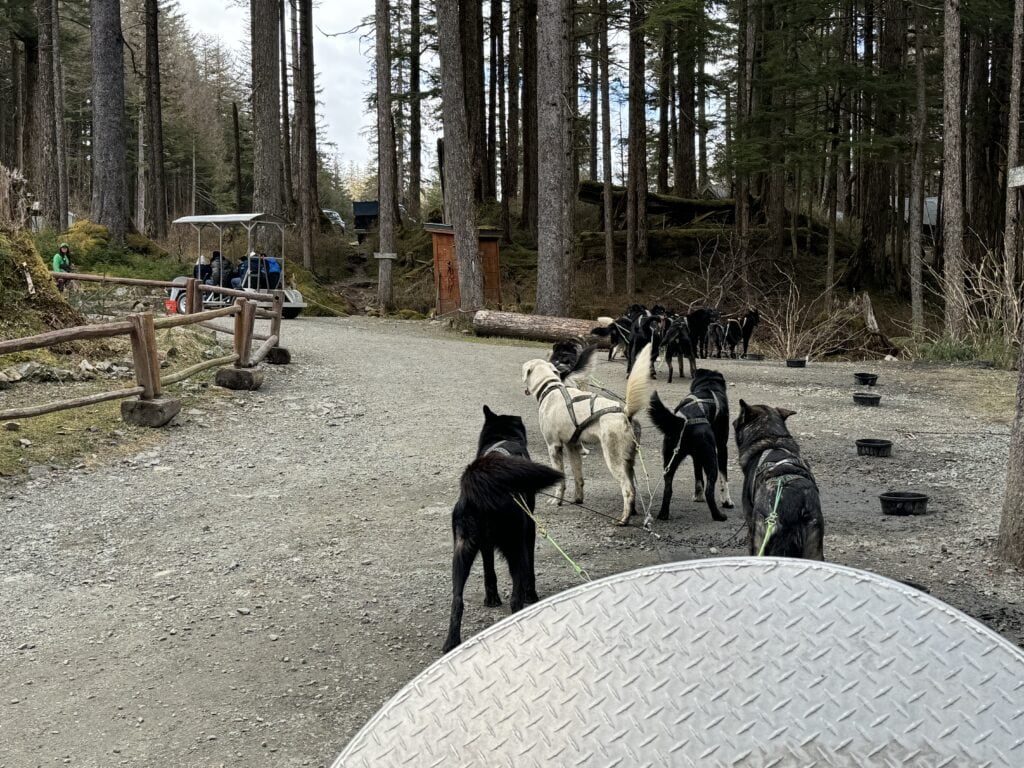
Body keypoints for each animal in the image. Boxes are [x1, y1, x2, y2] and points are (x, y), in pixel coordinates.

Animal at [442, 405, 565, 651]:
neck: (503, 438)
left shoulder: (485, 544)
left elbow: (489, 570)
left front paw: (491, 599)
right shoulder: (529, 531)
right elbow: (530, 572)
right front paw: (531, 595)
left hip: (461, 552)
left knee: (457, 600)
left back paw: (451, 643)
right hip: (515, 545)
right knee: (516, 596)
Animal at [651, 368, 733, 524]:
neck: (708, 386)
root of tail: (683, 422)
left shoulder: (697, 456)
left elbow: (697, 474)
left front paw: (697, 496)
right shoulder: (722, 447)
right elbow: (724, 478)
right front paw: (727, 501)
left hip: (670, 461)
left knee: (668, 488)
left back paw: (663, 514)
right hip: (711, 459)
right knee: (710, 491)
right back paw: (718, 516)